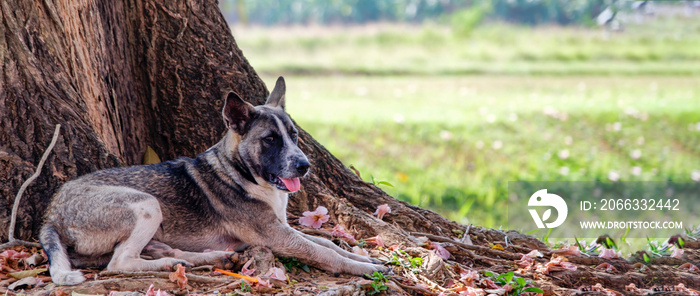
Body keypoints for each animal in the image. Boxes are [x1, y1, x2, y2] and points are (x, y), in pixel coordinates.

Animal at [40, 77, 386, 286]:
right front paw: (365, 268)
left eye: (295, 135)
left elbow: (326, 242)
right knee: (119, 262)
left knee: (146, 252)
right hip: (146, 205)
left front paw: (362, 256)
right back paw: (171, 265)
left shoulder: (281, 229)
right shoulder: (277, 236)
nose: (304, 166)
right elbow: (323, 252)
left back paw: (204, 258)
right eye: (270, 140)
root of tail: (51, 214)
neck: (242, 173)